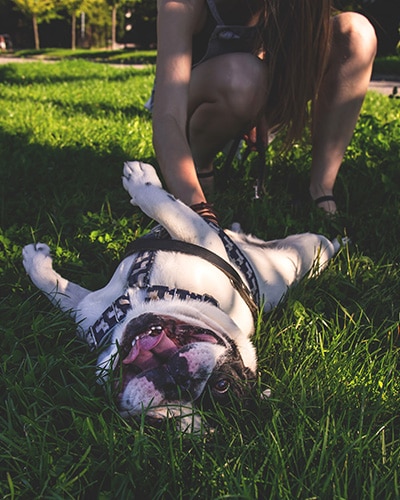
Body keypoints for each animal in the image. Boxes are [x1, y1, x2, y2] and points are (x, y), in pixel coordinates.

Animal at [21, 162, 340, 432]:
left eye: (221, 385)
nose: (182, 385)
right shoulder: (87, 310)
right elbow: (56, 289)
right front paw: (35, 259)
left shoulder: (197, 237)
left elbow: (169, 208)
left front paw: (140, 179)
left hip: (307, 255)